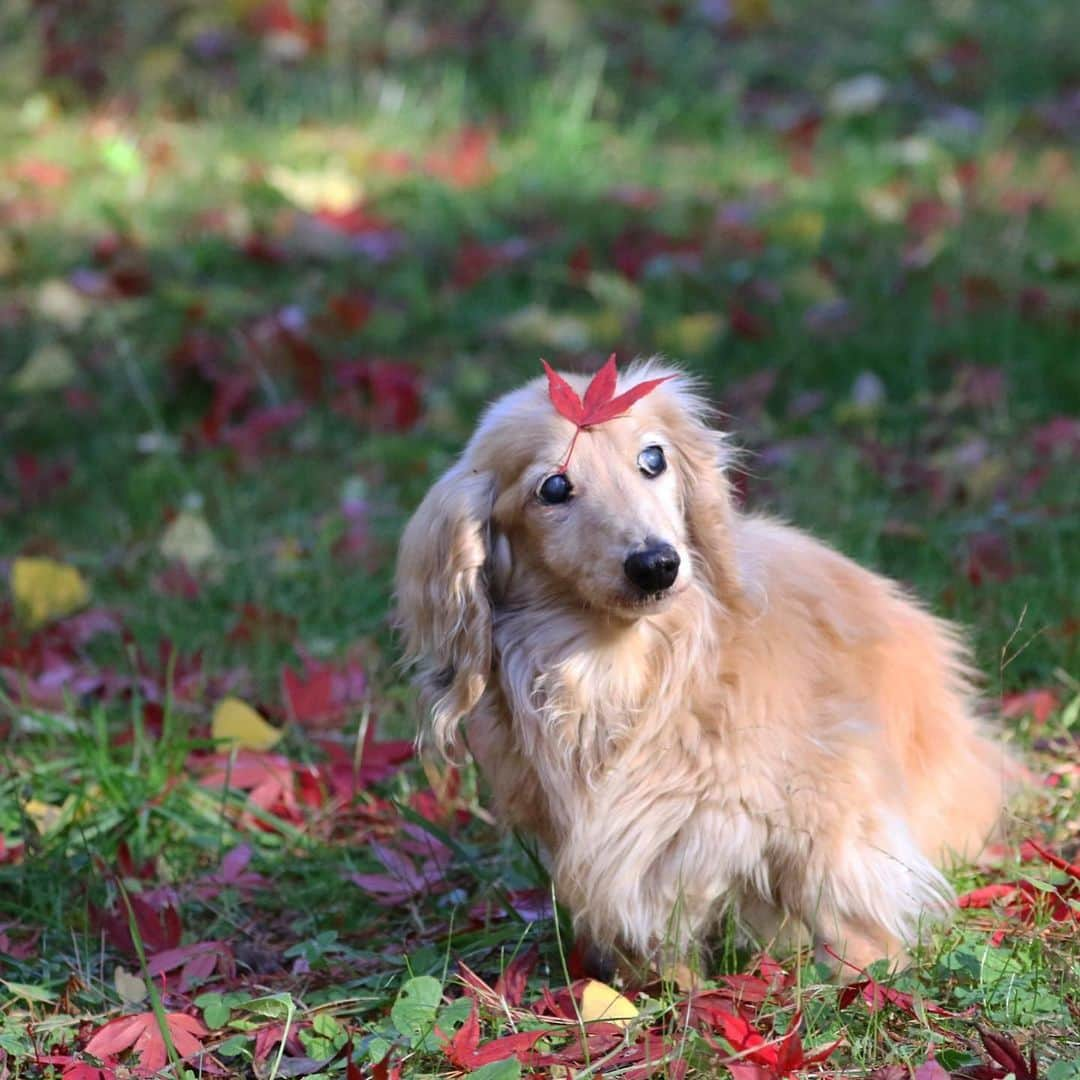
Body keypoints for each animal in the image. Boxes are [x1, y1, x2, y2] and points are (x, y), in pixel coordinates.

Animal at [397, 360, 1010, 980]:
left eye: (653, 458)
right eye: (553, 488)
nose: (656, 564)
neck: (615, 668)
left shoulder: (828, 803)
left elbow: (840, 896)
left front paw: (864, 976)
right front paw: (661, 984)